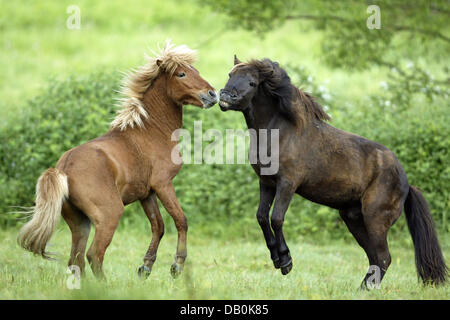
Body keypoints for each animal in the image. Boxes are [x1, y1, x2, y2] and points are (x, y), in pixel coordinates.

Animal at [18, 41, 219, 278]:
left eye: (195, 70)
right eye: (181, 73)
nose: (213, 94)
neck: (150, 131)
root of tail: (63, 170)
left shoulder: (147, 193)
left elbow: (158, 226)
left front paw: (145, 267)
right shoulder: (163, 184)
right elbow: (181, 220)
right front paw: (177, 266)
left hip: (80, 222)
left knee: (76, 260)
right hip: (109, 215)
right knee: (93, 255)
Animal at [218, 56, 446, 288]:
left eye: (252, 82)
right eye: (230, 74)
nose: (225, 97)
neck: (280, 132)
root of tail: (406, 182)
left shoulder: (287, 184)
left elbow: (277, 219)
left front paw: (286, 262)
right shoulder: (266, 182)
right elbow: (262, 217)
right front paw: (276, 259)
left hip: (376, 219)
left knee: (383, 257)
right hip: (354, 218)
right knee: (374, 257)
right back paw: (362, 289)